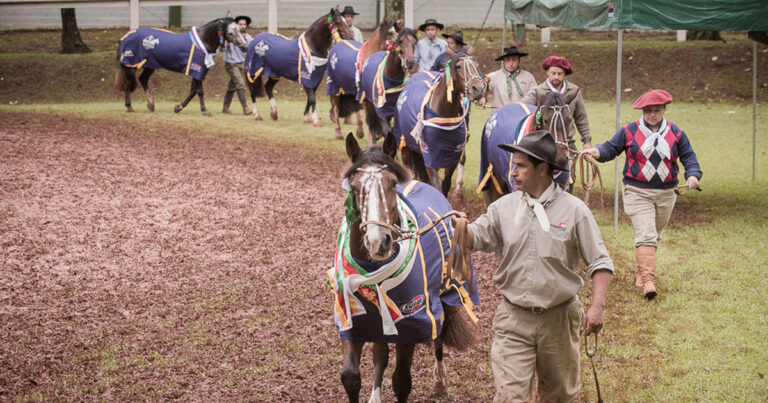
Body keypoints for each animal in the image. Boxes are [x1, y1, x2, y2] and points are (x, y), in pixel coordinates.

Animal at [114, 17, 248, 115]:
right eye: (230, 33)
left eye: (240, 30)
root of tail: (127, 35)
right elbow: (200, 91)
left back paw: (151, 104)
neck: (203, 40)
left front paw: (178, 107)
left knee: (143, 79)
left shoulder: (198, 72)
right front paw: (204, 110)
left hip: (150, 65)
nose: (245, 46)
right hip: (131, 64)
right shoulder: (197, 69)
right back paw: (129, 107)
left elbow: (193, 91)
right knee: (128, 83)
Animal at [330, 133, 480, 403]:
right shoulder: (353, 319)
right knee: (380, 352)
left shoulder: (411, 323)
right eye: (355, 188)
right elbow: (351, 376)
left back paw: (439, 382)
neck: (372, 272)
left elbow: (401, 382)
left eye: (391, 184)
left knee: (439, 337)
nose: (378, 241)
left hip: (444, 293)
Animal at [392, 51, 484, 200]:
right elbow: (437, 187)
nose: (478, 89)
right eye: (458, 66)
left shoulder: (452, 158)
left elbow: (445, 185)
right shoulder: (430, 157)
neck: (444, 120)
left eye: (476, 66)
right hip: (405, 147)